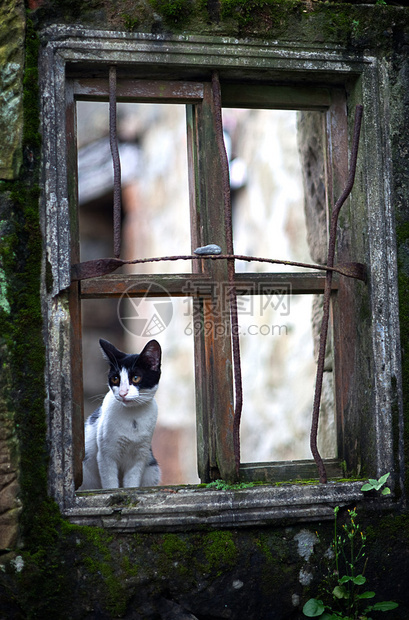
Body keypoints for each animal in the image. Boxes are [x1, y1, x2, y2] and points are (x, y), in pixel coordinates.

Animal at [79, 340, 162, 490]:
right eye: (115, 379)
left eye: (136, 378)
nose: (123, 393)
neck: (132, 416)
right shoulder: (106, 455)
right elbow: (110, 483)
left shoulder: (140, 456)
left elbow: (132, 481)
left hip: (152, 469)